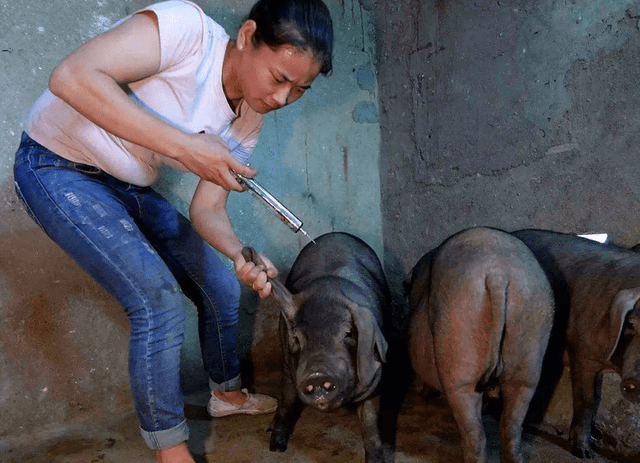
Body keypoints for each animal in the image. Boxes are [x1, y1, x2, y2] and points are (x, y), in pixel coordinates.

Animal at [408, 227, 552, 463]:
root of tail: (498, 274)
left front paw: (425, 394)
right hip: (531, 344)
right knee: (512, 425)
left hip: (460, 343)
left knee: (475, 434)